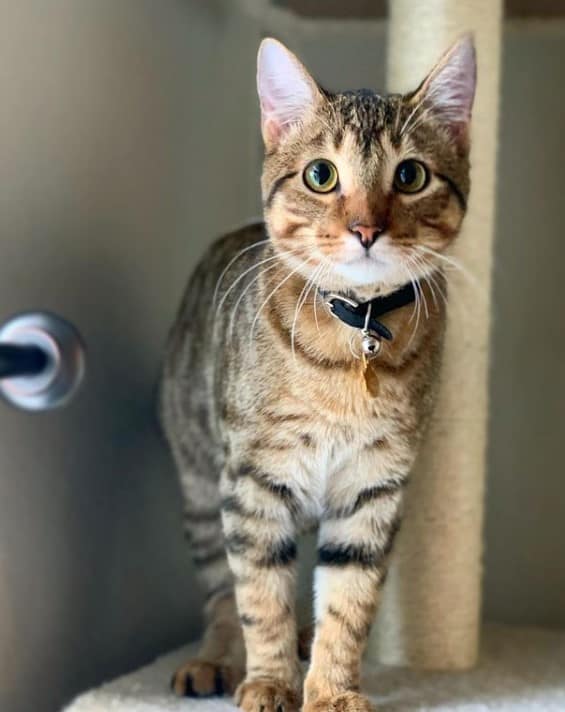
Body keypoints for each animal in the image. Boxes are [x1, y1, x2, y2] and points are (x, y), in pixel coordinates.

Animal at [160, 34, 476, 712]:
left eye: (410, 175)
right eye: (321, 174)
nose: (365, 229)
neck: (353, 337)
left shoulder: (373, 488)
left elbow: (348, 602)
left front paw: (330, 689)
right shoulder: (252, 482)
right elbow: (260, 597)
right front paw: (269, 682)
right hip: (200, 485)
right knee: (222, 593)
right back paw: (213, 659)